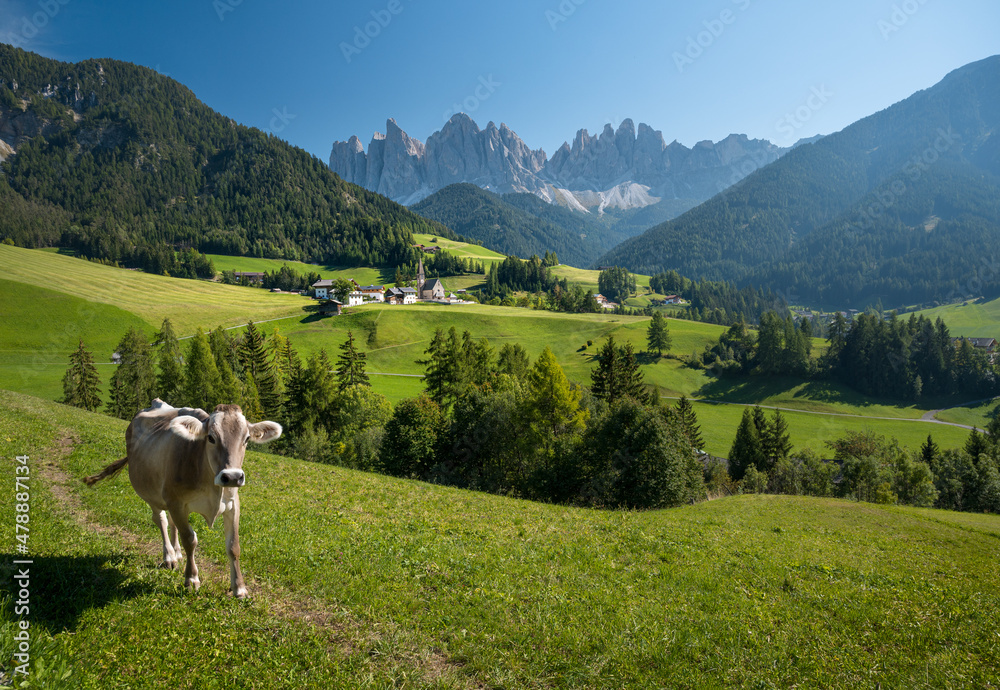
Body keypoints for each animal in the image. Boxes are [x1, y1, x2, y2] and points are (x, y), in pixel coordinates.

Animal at [83, 398, 282, 596]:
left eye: (246, 439)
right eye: (211, 437)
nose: (232, 477)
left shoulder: (233, 504)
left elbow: (233, 546)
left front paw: (239, 588)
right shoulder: (176, 502)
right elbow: (190, 540)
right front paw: (191, 578)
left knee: (171, 522)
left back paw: (176, 552)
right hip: (152, 494)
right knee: (161, 520)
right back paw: (170, 556)